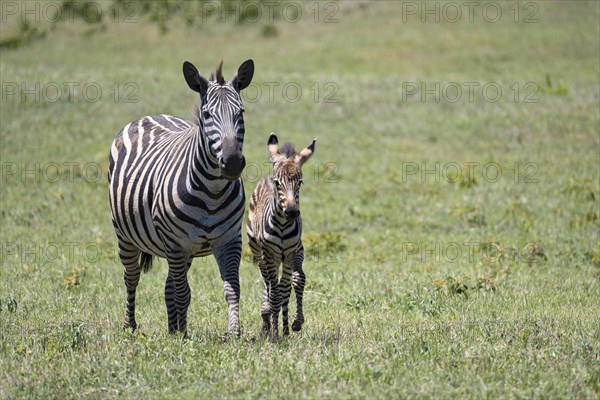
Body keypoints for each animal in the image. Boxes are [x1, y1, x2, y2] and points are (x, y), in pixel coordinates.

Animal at [109, 58, 254, 334]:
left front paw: (233, 331)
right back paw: (130, 325)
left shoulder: (229, 239)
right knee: (131, 277)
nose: (231, 162)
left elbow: (233, 289)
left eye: (240, 112)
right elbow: (183, 292)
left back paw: (173, 328)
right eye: (207, 114)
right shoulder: (176, 243)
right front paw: (185, 335)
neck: (212, 192)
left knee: (168, 286)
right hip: (127, 235)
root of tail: (150, 116)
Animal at [246, 134, 316, 338]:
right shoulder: (270, 254)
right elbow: (275, 291)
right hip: (260, 253)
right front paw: (275, 332)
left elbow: (295, 282)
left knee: (281, 285)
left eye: (299, 182)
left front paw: (293, 324)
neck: (284, 226)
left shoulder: (295, 251)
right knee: (267, 281)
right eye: (278, 183)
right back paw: (267, 320)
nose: (292, 212)